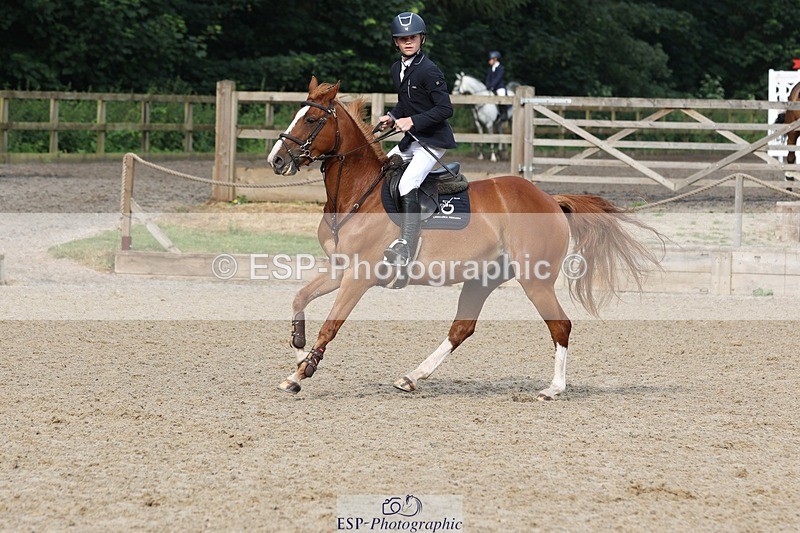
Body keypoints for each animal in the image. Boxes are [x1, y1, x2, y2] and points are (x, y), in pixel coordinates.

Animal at [267, 76, 662, 401]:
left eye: (311, 120)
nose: (277, 160)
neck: (357, 194)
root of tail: (550, 200)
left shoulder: (358, 276)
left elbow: (331, 325)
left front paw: (302, 372)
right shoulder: (340, 268)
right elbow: (299, 298)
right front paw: (299, 354)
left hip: (535, 280)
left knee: (560, 325)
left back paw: (553, 388)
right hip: (483, 278)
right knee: (462, 328)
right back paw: (412, 377)